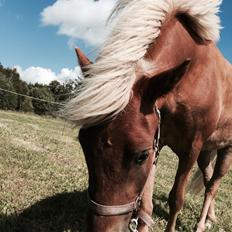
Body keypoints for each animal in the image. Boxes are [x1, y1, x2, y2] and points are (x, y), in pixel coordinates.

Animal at [64, 0, 232, 232]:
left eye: (141, 156)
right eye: (84, 144)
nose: (103, 229)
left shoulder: (190, 148)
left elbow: (176, 199)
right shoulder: (157, 141)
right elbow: (145, 206)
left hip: (225, 150)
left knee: (213, 186)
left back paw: (200, 224)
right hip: (206, 152)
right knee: (207, 179)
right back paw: (210, 217)